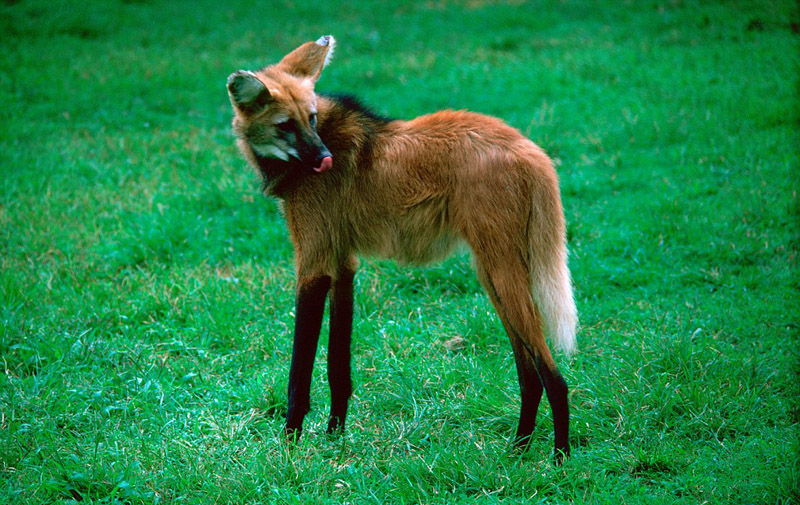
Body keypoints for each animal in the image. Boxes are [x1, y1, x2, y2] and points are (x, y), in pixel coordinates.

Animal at [228, 35, 580, 460]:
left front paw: (290, 445)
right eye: (285, 125)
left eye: (309, 119)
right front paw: (334, 438)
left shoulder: (313, 264)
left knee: (554, 377)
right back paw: (518, 448)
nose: (324, 159)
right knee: (529, 373)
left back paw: (559, 457)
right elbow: (337, 366)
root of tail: (533, 151)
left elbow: (300, 372)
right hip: (492, 273)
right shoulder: (343, 263)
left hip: (500, 270)